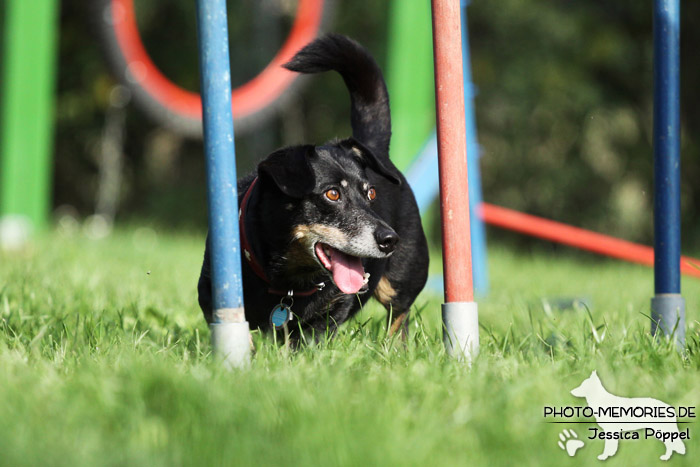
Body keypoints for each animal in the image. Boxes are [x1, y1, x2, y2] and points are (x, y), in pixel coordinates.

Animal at [196, 34, 426, 338]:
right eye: (332, 193)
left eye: (371, 193)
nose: (390, 239)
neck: (289, 282)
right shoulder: (213, 294)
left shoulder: (332, 309)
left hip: (402, 281)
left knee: (399, 319)